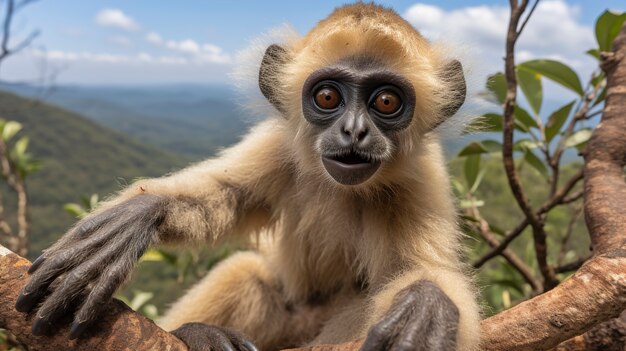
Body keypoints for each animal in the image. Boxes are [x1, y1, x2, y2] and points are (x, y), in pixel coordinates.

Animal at [18, 2, 478, 351]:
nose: (354, 131)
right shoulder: (280, 145)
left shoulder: (420, 179)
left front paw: (429, 304)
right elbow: (225, 193)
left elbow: (421, 270)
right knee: (245, 274)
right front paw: (139, 214)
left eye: (385, 101)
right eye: (328, 96)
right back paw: (197, 334)